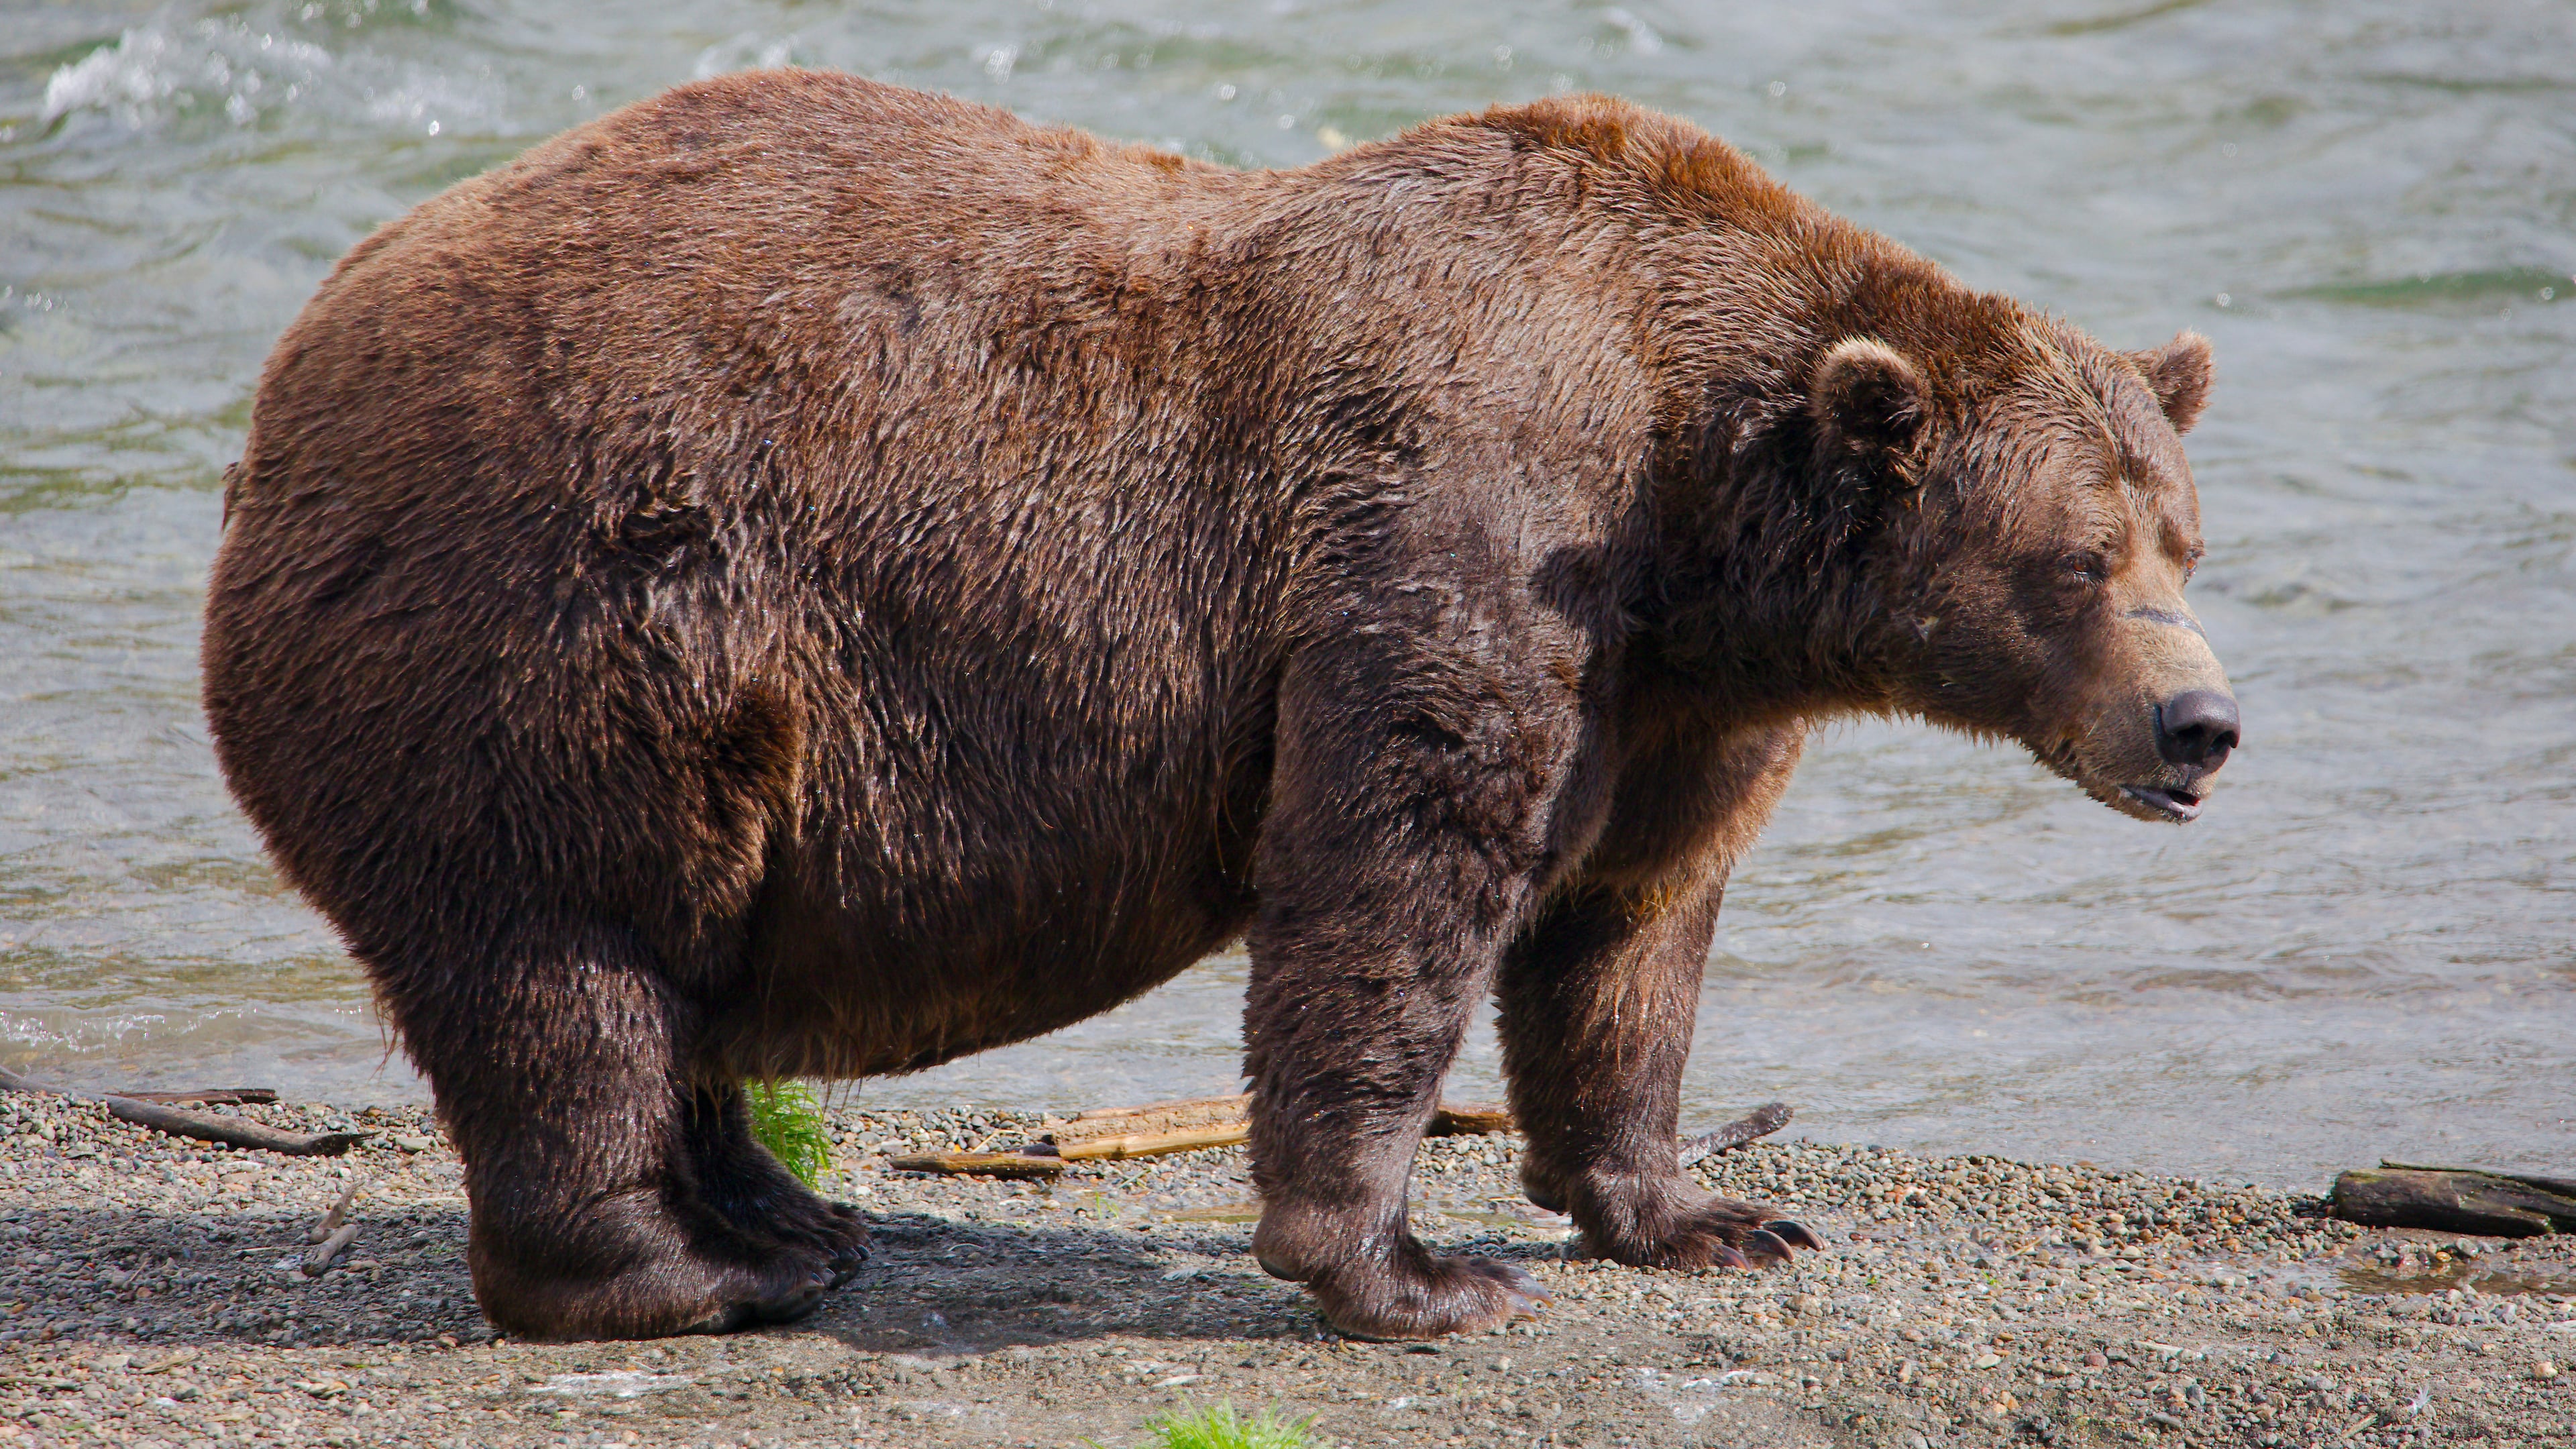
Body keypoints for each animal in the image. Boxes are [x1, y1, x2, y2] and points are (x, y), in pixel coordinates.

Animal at [201, 71, 2239, 1342]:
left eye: (2184, 538)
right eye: (2074, 559)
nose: (2199, 727)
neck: (1695, 502)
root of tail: (284, 383)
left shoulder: (1675, 694)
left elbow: (1628, 931)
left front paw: (1704, 1214)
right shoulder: (1461, 520)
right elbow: (1394, 872)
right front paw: (1410, 1271)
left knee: (674, 964)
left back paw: (789, 1216)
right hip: (559, 623)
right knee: (568, 963)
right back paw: (686, 1271)